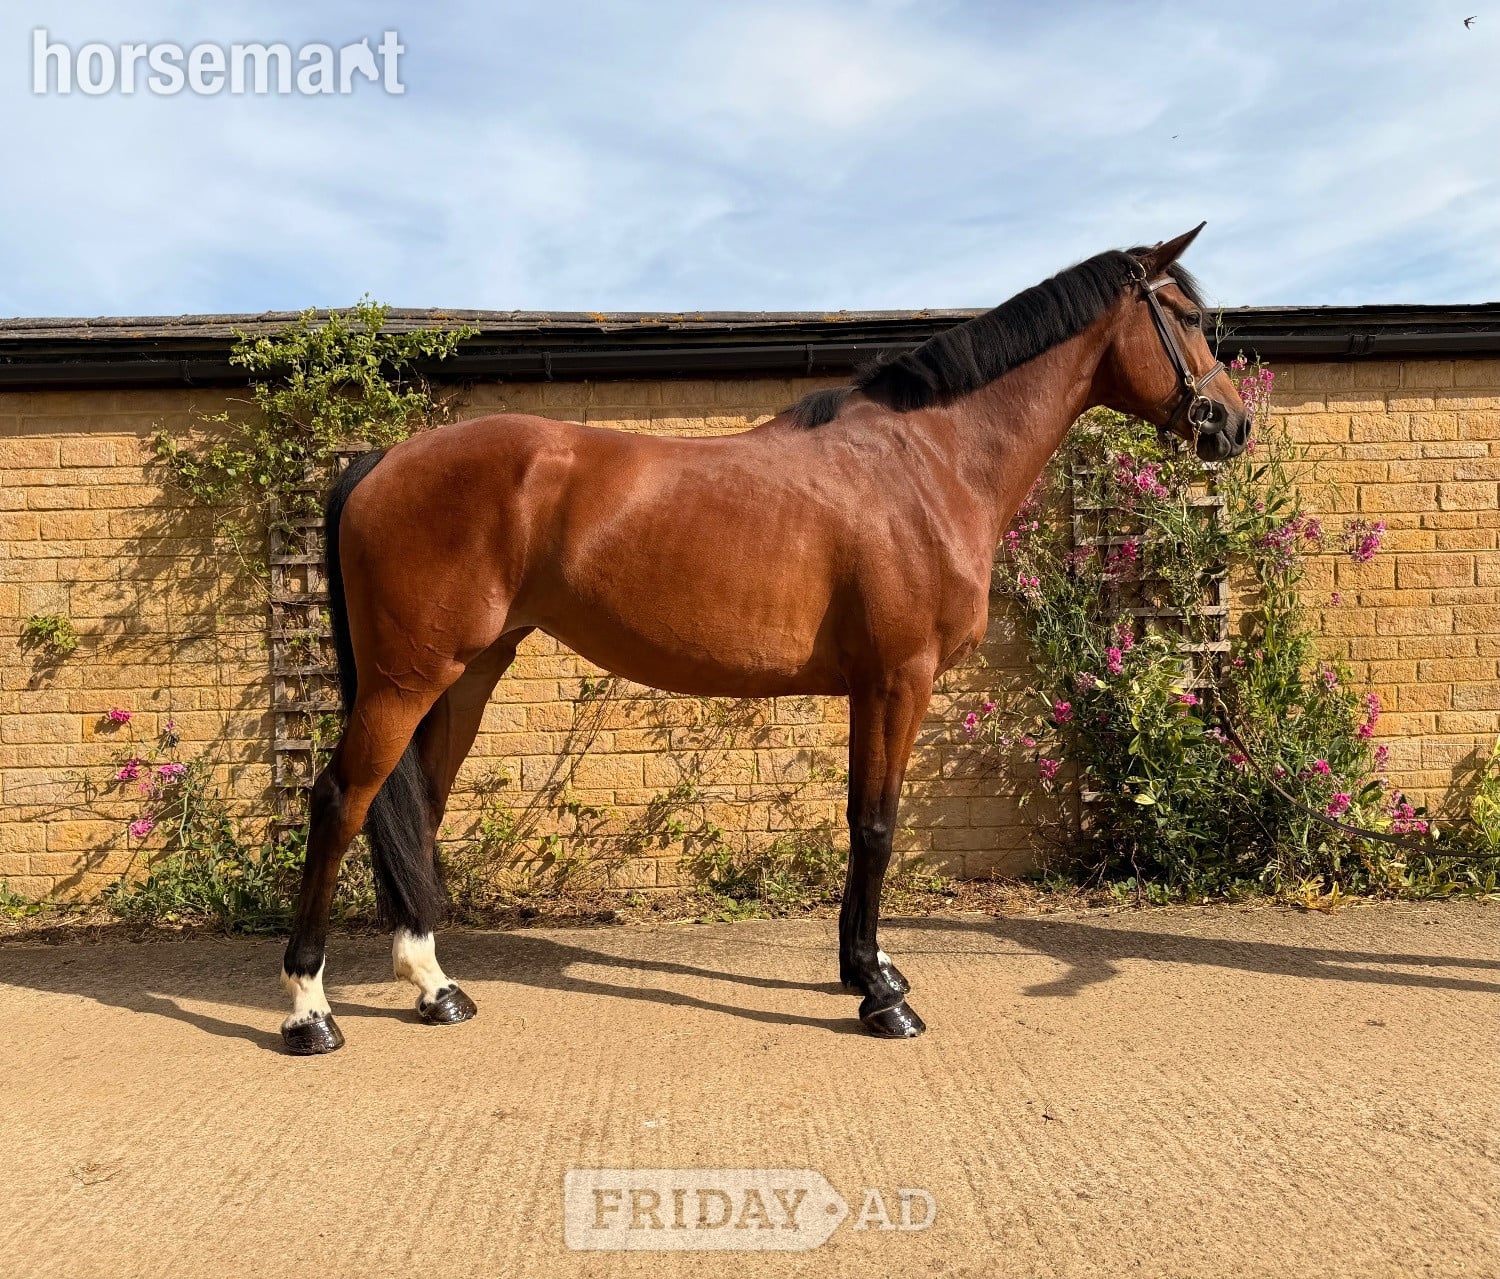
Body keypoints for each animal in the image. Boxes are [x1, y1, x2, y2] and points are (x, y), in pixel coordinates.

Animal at [279, 223, 1251, 1054]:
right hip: (408, 678)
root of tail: (381, 460)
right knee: (339, 800)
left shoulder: (871, 685)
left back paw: (434, 986)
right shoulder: (899, 678)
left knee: (412, 808)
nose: (1233, 423)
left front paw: (869, 966)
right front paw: (881, 997)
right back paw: (310, 1009)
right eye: (1187, 316)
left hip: (464, 675)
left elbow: (862, 819)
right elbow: (877, 825)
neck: (928, 461)